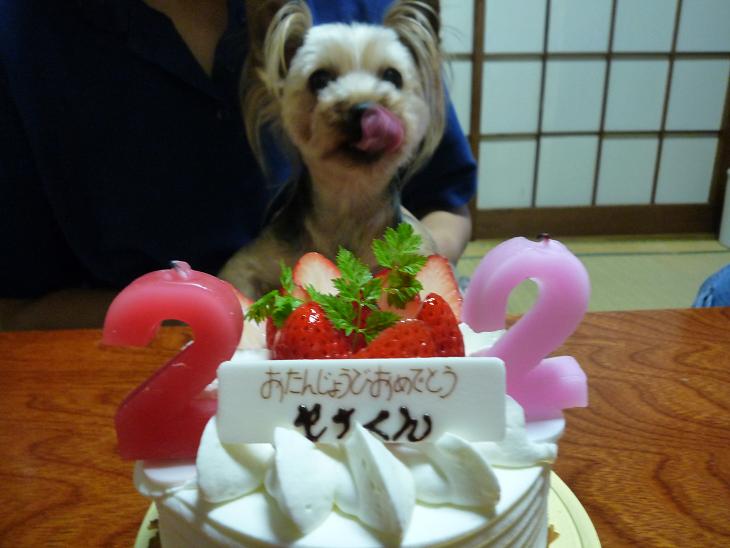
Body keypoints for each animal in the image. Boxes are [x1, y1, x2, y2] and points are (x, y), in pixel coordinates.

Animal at [219, 0, 445, 298]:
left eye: (392, 76)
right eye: (319, 78)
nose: (363, 108)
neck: (350, 198)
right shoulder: (252, 263)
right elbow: (238, 279)